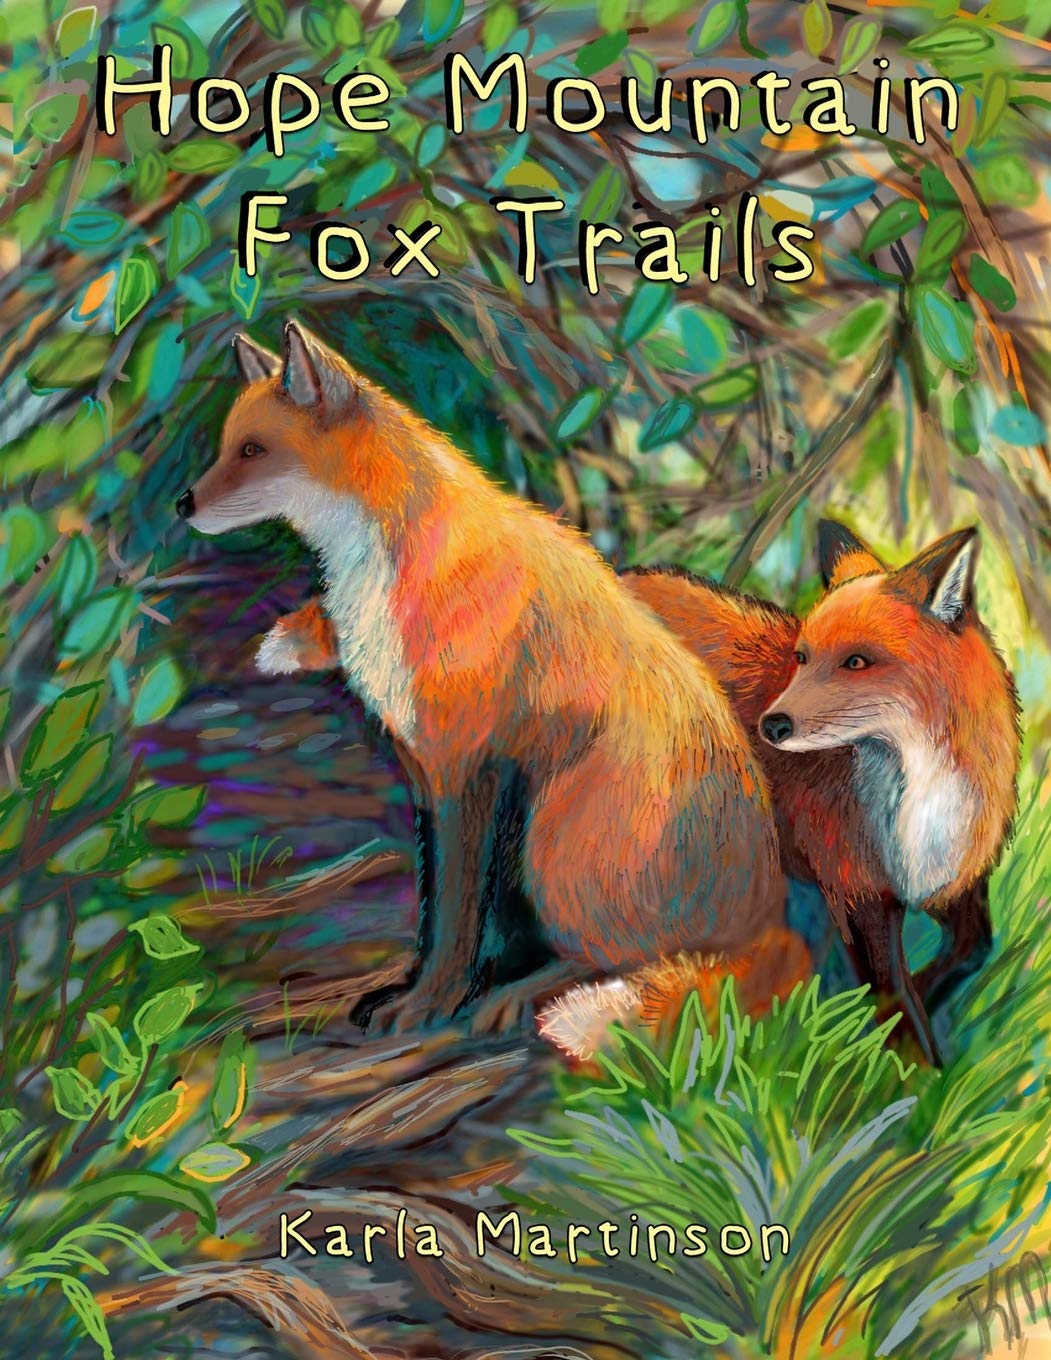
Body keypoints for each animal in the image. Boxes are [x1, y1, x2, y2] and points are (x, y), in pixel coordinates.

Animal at [175, 319, 788, 1036]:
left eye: (253, 450)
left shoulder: (465, 764)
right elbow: (437, 905)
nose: (182, 502)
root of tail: (766, 914)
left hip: (554, 838)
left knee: (627, 957)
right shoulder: (421, 765)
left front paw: (427, 1007)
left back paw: (519, 997)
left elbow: (456, 913)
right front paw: (413, 989)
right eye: (225, 446)